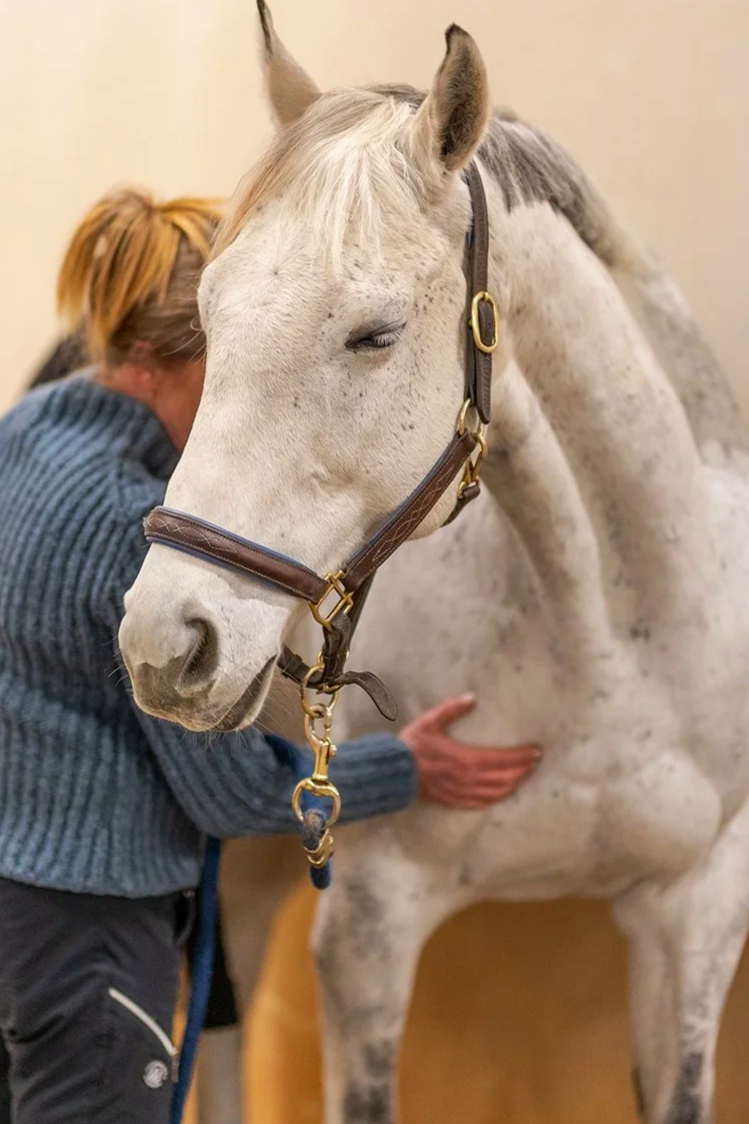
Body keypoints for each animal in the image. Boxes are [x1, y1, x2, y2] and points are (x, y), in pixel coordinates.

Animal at [119, 6, 749, 1122]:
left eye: (373, 333)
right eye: (206, 321)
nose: (166, 641)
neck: (610, 640)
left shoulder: (694, 914)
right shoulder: (369, 921)